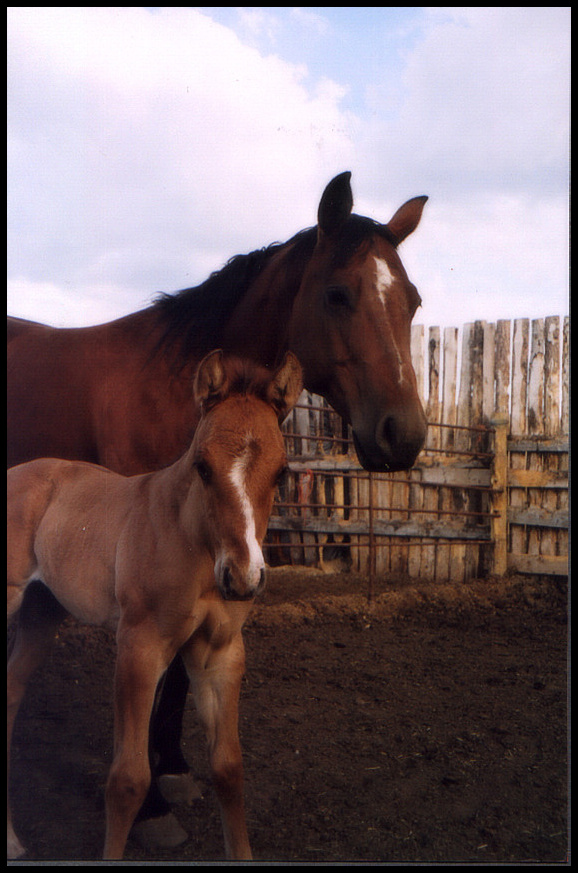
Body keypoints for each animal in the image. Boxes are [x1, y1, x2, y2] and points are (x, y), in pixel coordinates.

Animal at [7, 350, 302, 860]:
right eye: (202, 465)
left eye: (282, 471)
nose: (243, 577)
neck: (194, 544)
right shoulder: (139, 648)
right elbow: (127, 780)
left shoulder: (220, 653)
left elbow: (229, 769)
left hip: (41, 613)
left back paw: (11, 838)